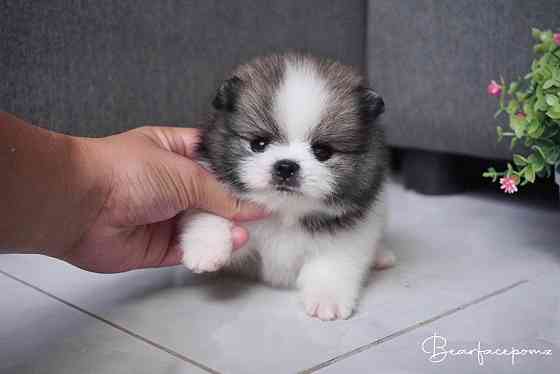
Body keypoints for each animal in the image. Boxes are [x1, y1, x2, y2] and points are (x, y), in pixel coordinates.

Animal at [179, 52, 394, 320]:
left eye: (322, 151)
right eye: (258, 144)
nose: (286, 166)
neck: (284, 213)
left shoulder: (350, 234)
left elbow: (332, 263)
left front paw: (328, 298)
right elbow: (210, 213)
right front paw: (206, 248)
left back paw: (382, 256)